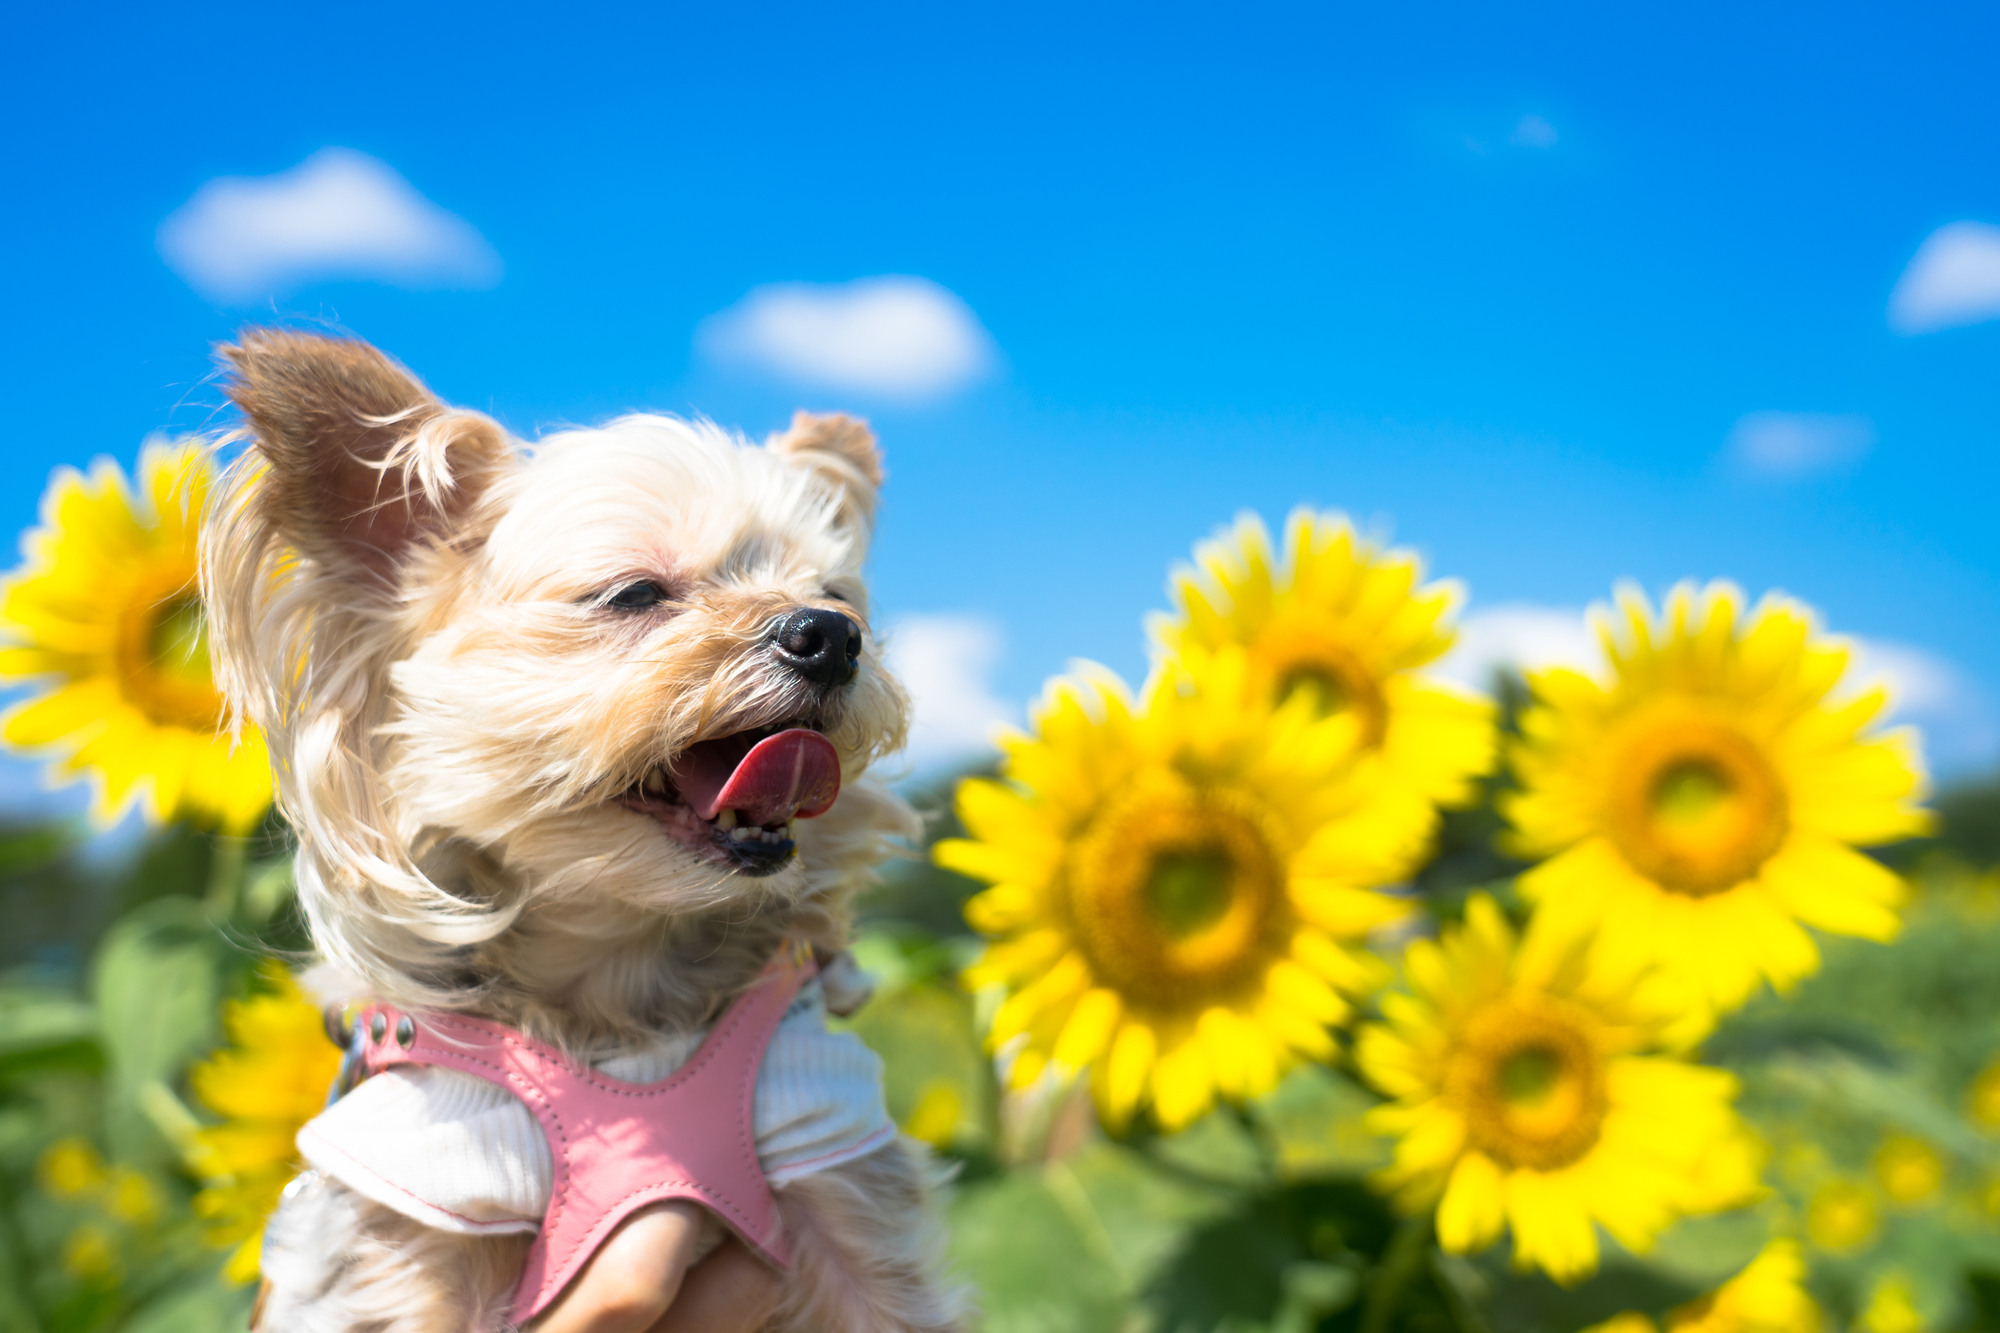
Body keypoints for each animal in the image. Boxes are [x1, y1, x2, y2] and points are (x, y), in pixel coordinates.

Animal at [199, 324, 964, 1328]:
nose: (832, 635)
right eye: (635, 593)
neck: (624, 994)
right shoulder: (423, 1210)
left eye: (839, 593)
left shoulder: (828, 1145)